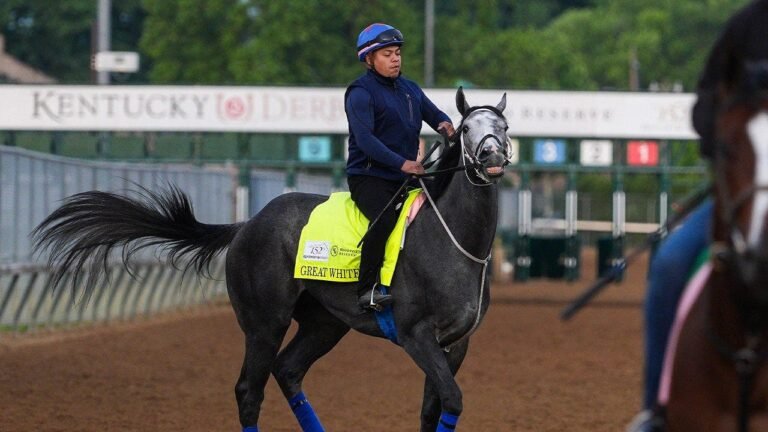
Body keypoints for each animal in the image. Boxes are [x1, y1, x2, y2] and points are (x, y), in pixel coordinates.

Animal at [31, 87, 512, 432]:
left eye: (504, 125)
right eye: (467, 129)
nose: (492, 157)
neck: (451, 241)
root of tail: (247, 223)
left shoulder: (455, 342)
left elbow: (435, 407)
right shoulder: (416, 335)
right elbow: (452, 398)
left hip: (323, 323)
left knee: (288, 371)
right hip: (264, 323)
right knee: (249, 389)